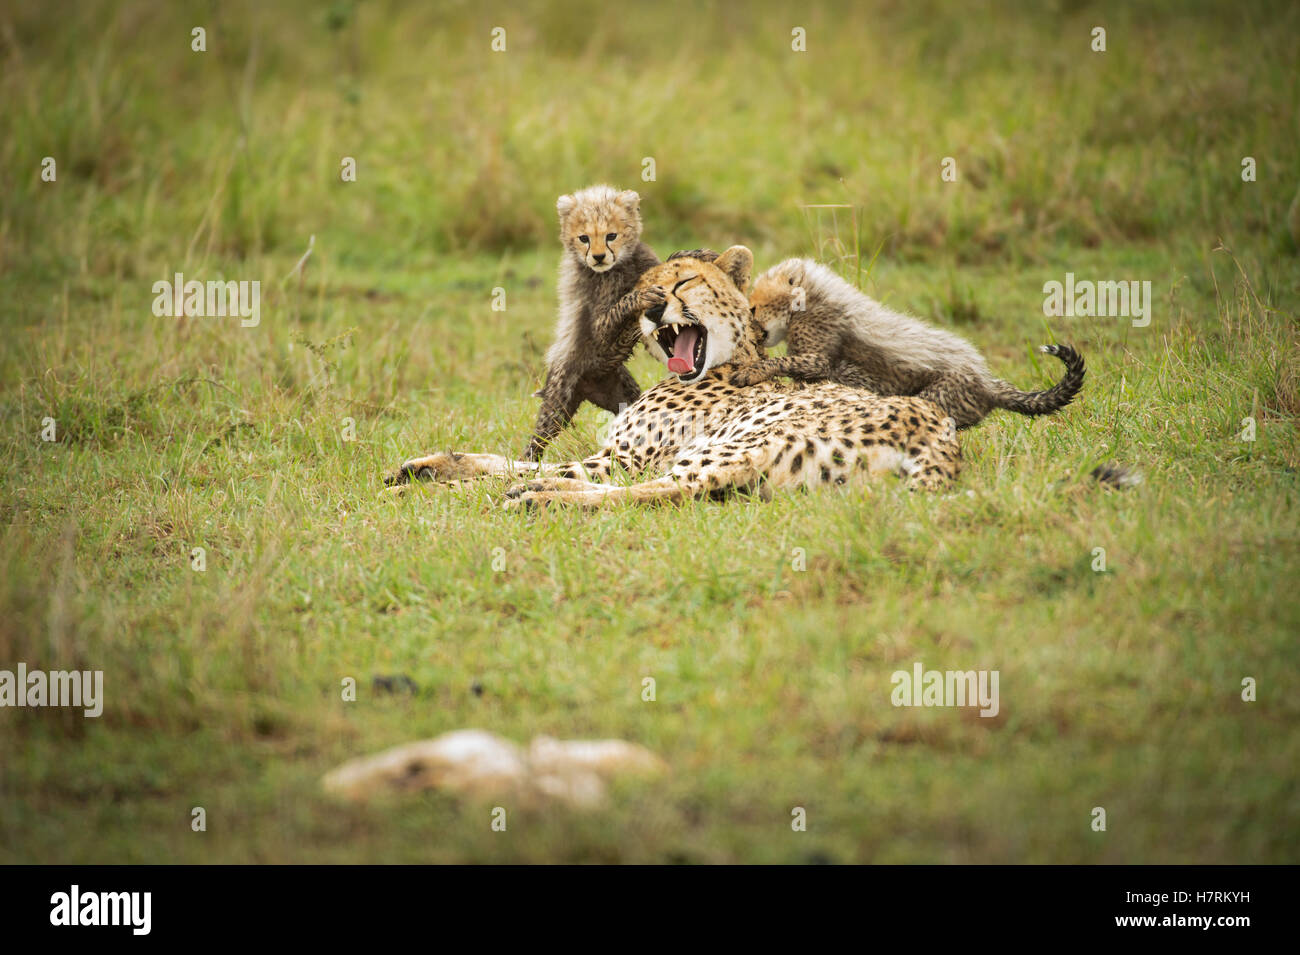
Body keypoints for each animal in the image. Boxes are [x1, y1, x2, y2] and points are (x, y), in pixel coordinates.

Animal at [379, 246, 961, 509]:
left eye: (684, 283)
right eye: (644, 293)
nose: (657, 310)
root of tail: (941, 437)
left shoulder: (626, 456)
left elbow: (536, 465)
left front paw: (447, 482)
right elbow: (503, 458)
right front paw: (425, 465)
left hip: (737, 442)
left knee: (659, 491)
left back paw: (541, 497)